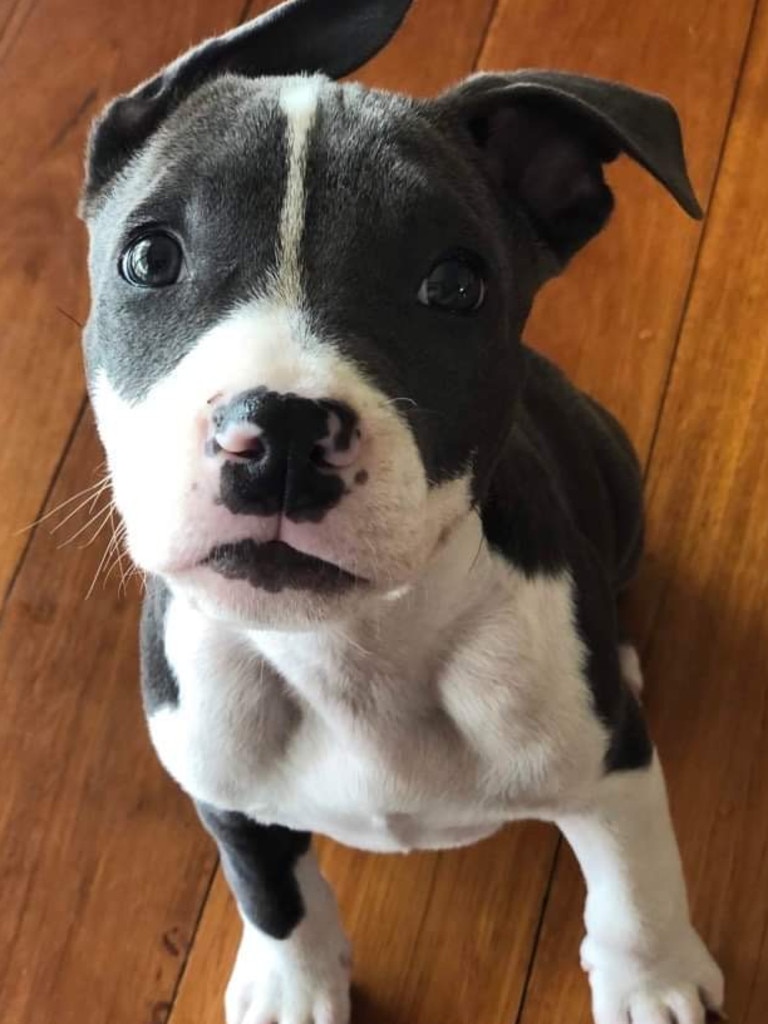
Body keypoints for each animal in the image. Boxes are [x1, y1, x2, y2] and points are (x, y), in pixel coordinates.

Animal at [81, 2, 724, 1024]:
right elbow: (271, 889)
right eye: (149, 257)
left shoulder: (610, 768)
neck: (351, 651)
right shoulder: (221, 783)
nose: (282, 430)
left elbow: (636, 880)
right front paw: (292, 985)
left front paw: (652, 982)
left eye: (455, 285)